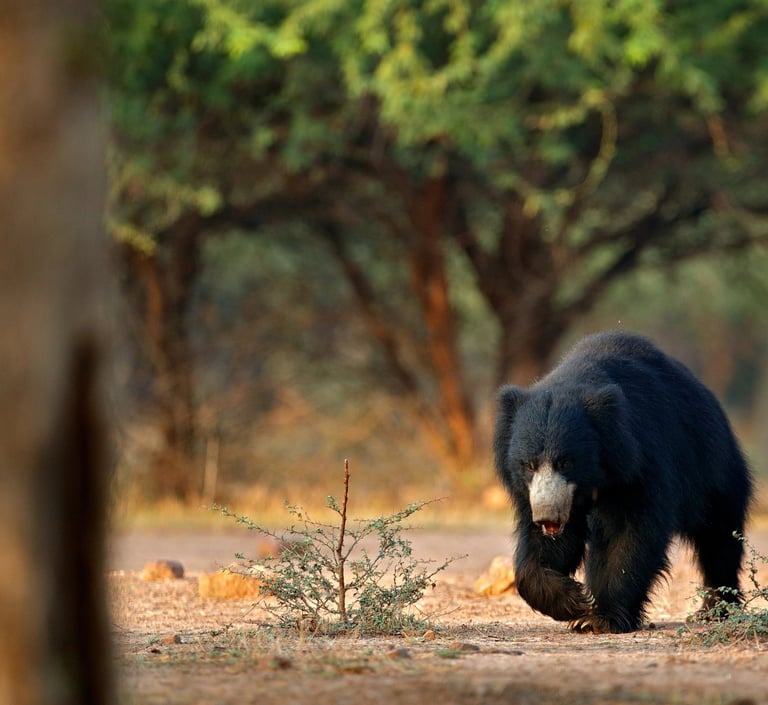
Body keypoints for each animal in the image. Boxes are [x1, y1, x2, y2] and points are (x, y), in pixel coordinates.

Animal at [493, 330, 753, 634]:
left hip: (712, 470)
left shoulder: (639, 463)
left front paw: (597, 618)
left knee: (719, 538)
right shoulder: (538, 494)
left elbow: (629, 534)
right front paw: (573, 599)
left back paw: (714, 610)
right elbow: (545, 547)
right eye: (529, 464)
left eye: (566, 462)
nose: (547, 515)